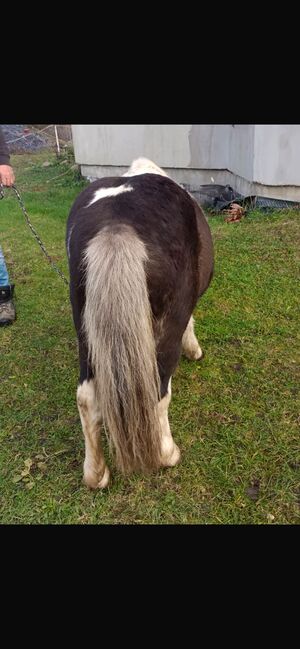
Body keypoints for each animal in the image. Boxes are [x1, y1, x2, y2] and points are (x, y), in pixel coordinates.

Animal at [67, 158, 213, 486]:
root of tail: (116, 226)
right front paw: (194, 349)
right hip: (165, 333)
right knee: (158, 392)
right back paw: (166, 453)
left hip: (86, 334)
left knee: (86, 398)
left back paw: (96, 474)